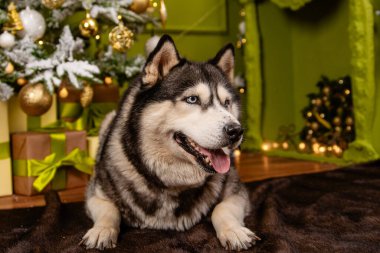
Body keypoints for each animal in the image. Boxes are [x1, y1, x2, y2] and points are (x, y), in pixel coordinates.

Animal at [82, 35, 262, 251]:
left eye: (226, 103)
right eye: (192, 99)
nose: (236, 131)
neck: (172, 183)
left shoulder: (237, 191)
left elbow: (221, 208)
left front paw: (234, 230)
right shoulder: (95, 194)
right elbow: (109, 210)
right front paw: (101, 230)